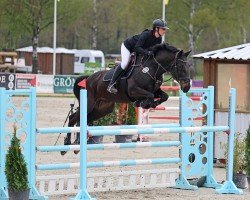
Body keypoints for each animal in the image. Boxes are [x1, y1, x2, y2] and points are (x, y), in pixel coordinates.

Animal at [60, 43, 191, 155]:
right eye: (180, 66)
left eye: (189, 66)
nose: (186, 87)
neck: (151, 68)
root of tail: (88, 78)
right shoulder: (134, 90)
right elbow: (150, 96)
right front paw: (144, 103)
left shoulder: (155, 90)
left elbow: (164, 96)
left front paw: (151, 104)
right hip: (89, 103)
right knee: (73, 118)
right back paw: (66, 146)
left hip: (102, 109)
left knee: (85, 119)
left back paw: (76, 145)